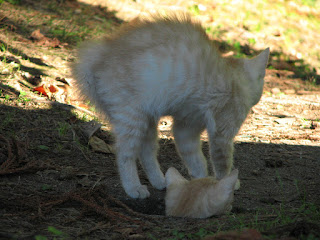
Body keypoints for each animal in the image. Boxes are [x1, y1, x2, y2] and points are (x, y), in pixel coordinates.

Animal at [71, 13, 268, 199]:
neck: (233, 77)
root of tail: (97, 58)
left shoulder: (186, 127)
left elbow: (196, 160)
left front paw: (201, 182)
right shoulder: (222, 130)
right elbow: (222, 161)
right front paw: (227, 182)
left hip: (147, 120)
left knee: (147, 152)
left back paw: (159, 181)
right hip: (132, 118)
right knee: (124, 153)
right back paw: (133, 187)